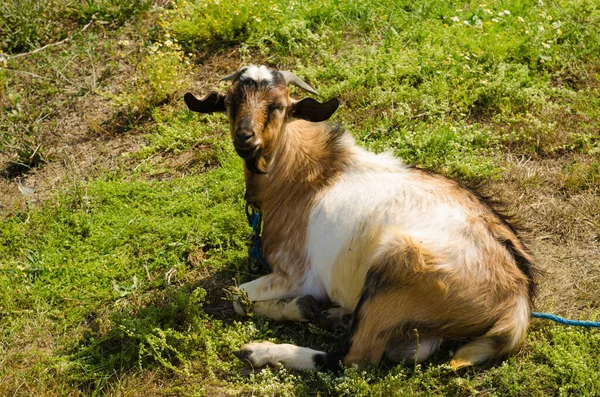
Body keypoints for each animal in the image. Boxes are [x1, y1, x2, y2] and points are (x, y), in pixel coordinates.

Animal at [185, 65, 536, 372]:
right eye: (229, 103)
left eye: (279, 106)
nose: (246, 138)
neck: (302, 174)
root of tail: (516, 303)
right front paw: (307, 308)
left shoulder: (298, 275)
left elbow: (236, 295)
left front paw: (299, 306)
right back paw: (332, 316)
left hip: (395, 269)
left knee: (355, 360)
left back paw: (261, 351)